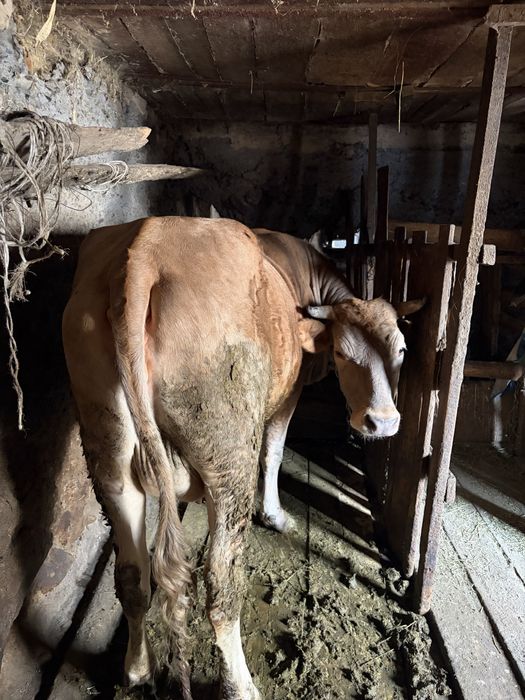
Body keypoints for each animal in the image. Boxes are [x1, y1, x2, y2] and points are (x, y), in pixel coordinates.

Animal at [62, 216, 423, 700]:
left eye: (401, 349)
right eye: (343, 354)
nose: (381, 423)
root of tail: (145, 249)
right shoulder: (287, 396)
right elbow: (274, 453)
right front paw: (276, 515)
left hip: (109, 457)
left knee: (133, 576)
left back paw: (137, 669)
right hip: (229, 460)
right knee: (220, 586)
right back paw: (240, 684)